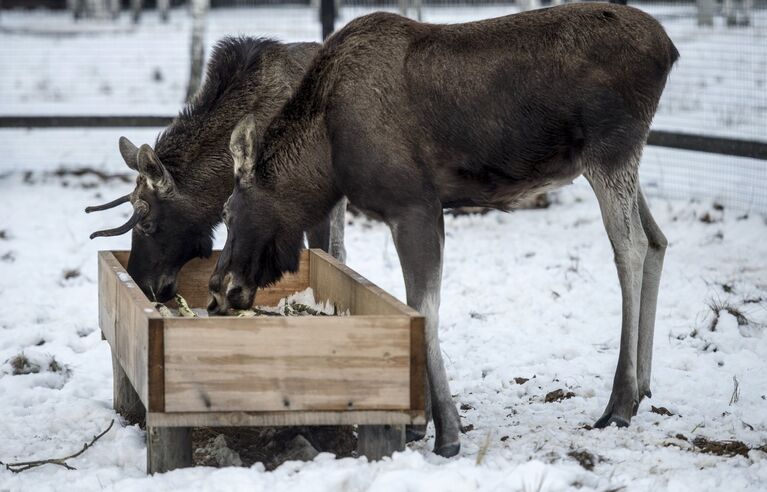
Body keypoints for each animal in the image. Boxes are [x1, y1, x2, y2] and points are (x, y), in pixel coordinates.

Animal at [208, 4, 680, 458]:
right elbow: (412, 305)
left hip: (611, 150)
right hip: (620, 159)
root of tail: (669, 50)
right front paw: (420, 422)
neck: (326, 156)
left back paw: (619, 403)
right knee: (658, 239)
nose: (217, 288)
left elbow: (424, 307)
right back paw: (643, 387)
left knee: (631, 246)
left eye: (228, 211)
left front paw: (446, 432)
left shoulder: (414, 205)